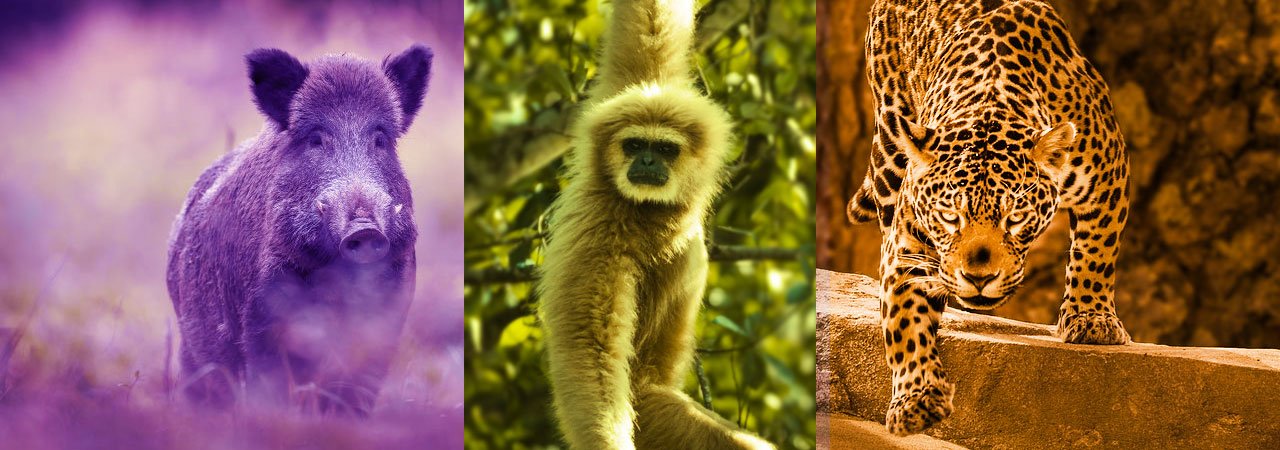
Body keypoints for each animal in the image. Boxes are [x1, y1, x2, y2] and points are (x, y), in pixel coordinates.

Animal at [535, 0, 775, 449]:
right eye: (633, 145)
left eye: (664, 148)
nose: (645, 161)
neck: (646, 211)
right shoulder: (599, 231)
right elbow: (587, 349)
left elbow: (649, 25)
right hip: (648, 409)